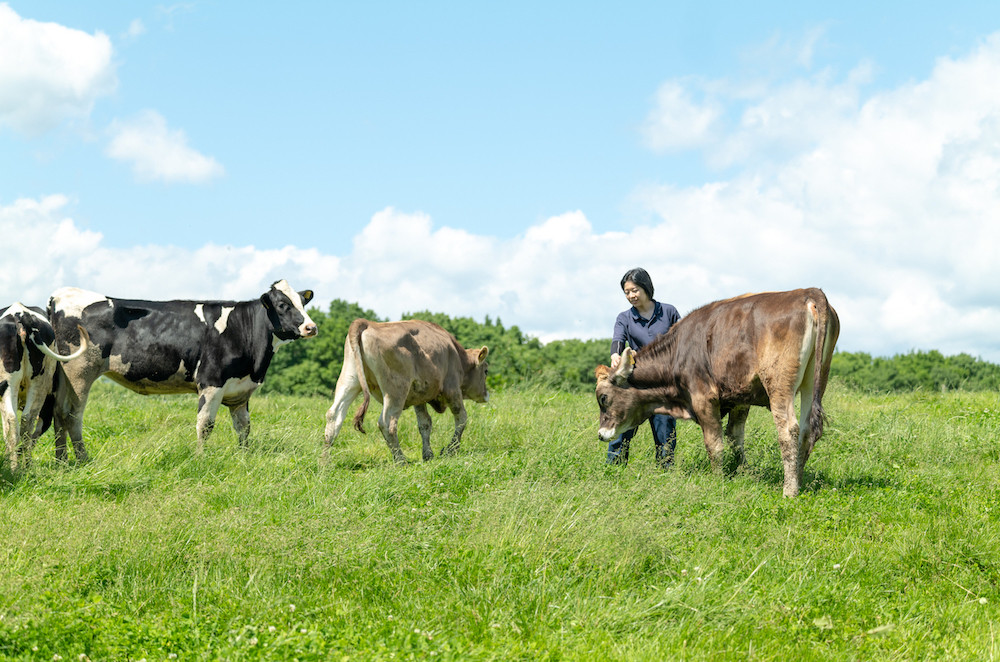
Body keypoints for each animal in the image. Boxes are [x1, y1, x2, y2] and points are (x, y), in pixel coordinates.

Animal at [0, 304, 89, 470]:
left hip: (28, 386)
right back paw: (18, 466)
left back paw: (16, 465)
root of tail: (21, 315)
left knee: (17, 421)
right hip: (34, 384)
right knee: (22, 420)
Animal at [47, 280, 316, 462]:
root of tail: (61, 294)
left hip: (64, 375)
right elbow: (205, 425)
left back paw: (63, 462)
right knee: (72, 416)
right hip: (80, 371)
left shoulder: (240, 390)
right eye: (282, 305)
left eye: (303, 303)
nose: (311, 327)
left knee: (58, 413)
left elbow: (243, 427)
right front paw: (200, 458)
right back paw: (83, 460)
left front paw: (244, 458)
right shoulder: (211, 382)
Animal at [322, 320, 490, 466]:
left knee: (334, 415)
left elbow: (425, 423)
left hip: (349, 380)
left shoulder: (419, 396)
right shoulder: (452, 389)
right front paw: (451, 450)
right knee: (387, 423)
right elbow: (461, 418)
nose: (486, 394)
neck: (456, 355)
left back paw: (325, 461)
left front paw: (428, 454)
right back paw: (401, 460)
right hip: (396, 390)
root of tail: (368, 323)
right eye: (486, 371)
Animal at [596, 290, 840, 498]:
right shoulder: (741, 398)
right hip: (816, 377)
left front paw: (717, 479)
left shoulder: (704, 398)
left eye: (603, 398)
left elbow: (715, 444)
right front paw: (743, 472)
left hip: (779, 383)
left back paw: (789, 490)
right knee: (807, 430)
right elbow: (735, 436)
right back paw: (798, 479)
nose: (601, 434)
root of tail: (806, 292)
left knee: (789, 430)